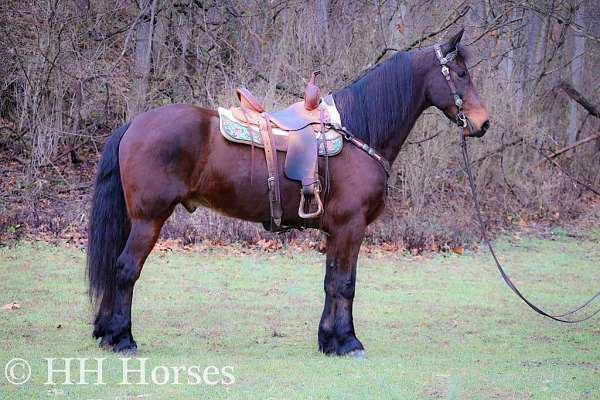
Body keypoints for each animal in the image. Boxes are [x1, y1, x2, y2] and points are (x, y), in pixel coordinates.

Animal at [89, 30, 490, 356]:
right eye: (461, 74)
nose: (483, 123)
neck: (358, 132)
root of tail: (134, 123)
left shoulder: (337, 231)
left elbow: (332, 282)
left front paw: (329, 341)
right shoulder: (351, 227)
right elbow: (346, 284)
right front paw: (348, 342)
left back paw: (107, 333)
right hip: (149, 219)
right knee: (125, 269)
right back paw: (123, 338)